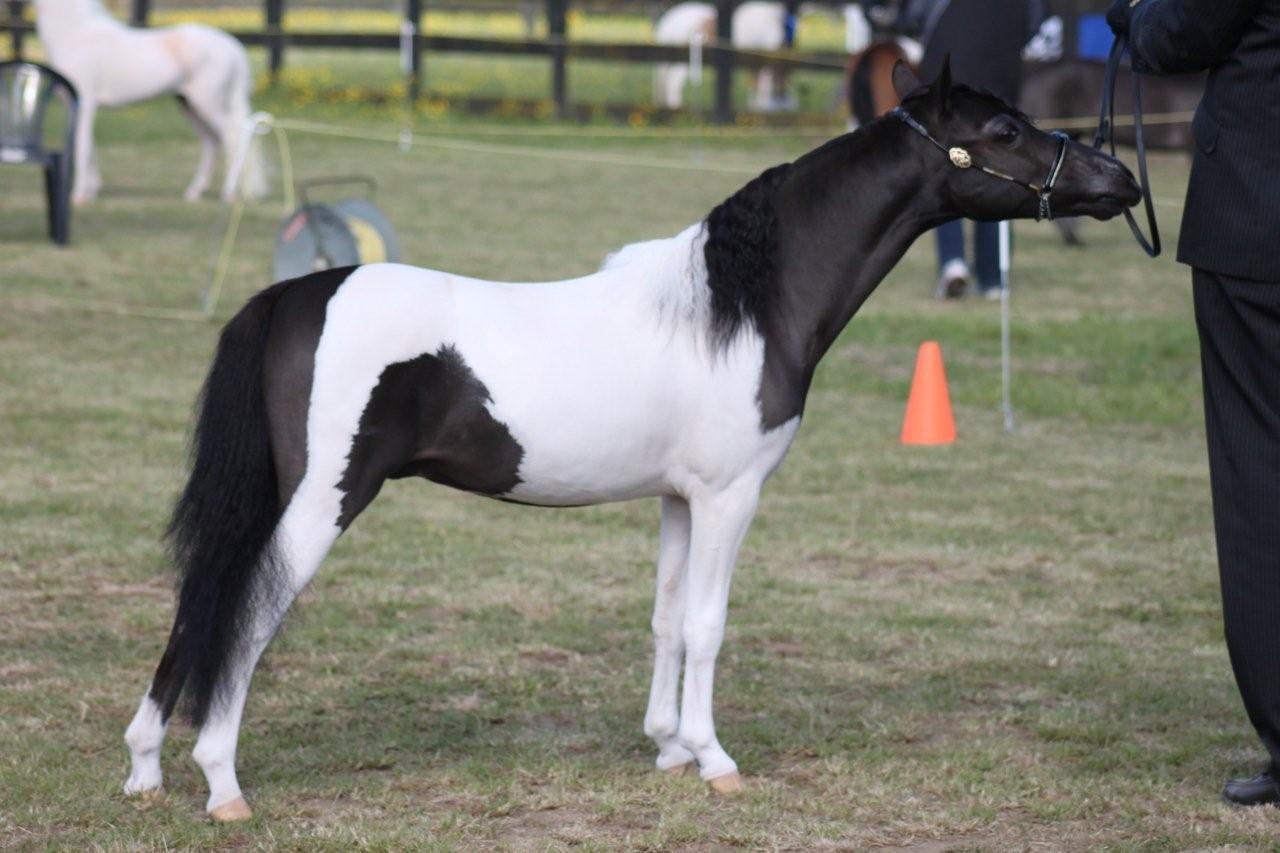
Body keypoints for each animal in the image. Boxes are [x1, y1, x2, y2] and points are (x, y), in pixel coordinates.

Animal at [33, 0, 267, 204]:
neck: (76, 34)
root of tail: (234, 48)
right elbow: (89, 147)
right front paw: (93, 189)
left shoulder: (85, 103)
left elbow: (82, 148)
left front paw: (80, 196)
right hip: (190, 106)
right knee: (212, 142)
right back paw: (194, 192)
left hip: (210, 105)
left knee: (235, 138)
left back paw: (228, 193)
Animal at [121, 60, 1139, 822]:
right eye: (1002, 130)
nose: (1119, 180)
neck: (741, 306)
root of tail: (295, 294)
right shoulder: (730, 495)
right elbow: (708, 622)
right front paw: (717, 759)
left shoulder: (679, 498)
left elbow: (665, 616)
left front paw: (668, 748)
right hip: (323, 499)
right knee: (249, 609)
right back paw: (221, 784)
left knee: (199, 602)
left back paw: (144, 769)